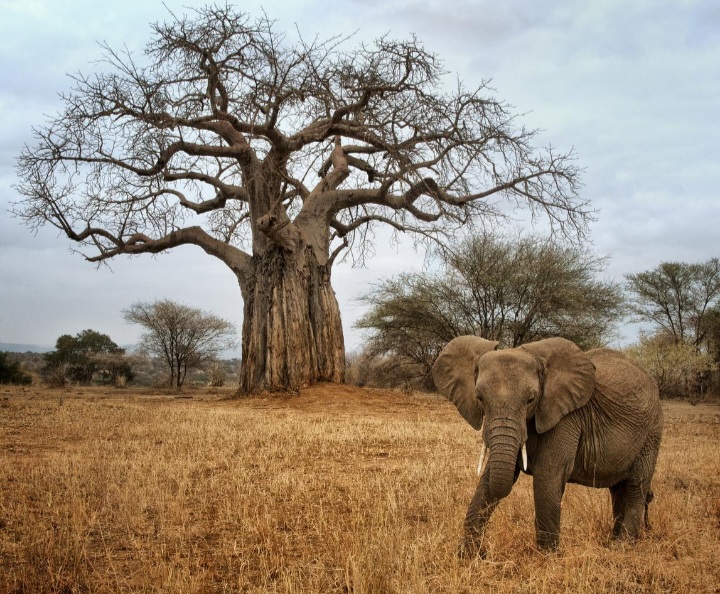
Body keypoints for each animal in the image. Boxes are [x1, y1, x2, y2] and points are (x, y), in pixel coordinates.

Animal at [432, 335, 663, 556]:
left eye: (531, 400)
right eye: (480, 398)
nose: (482, 551)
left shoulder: (566, 417)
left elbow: (547, 474)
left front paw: (548, 556)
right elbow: (491, 477)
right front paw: (469, 555)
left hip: (651, 433)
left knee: (635, 487)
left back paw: (622, 546)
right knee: (618, 489)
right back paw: (614, 540)